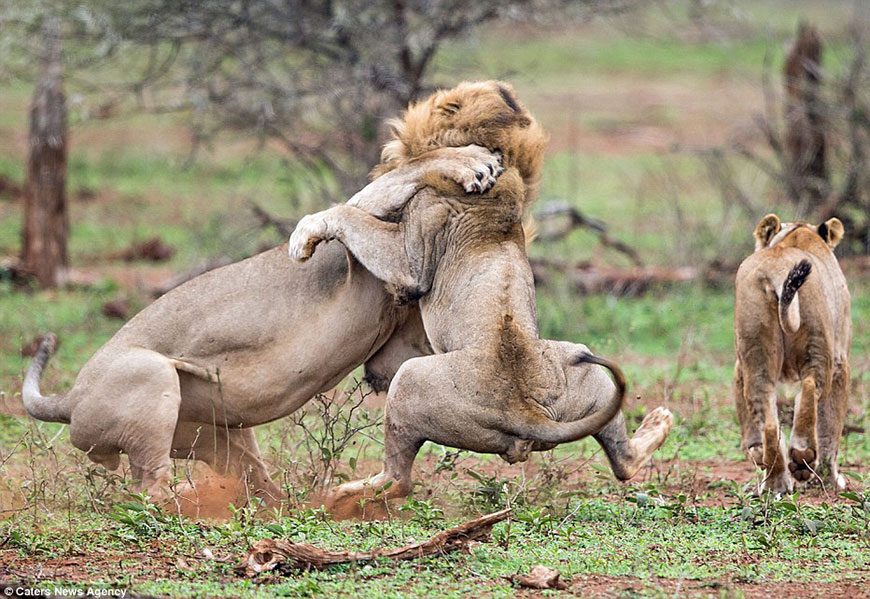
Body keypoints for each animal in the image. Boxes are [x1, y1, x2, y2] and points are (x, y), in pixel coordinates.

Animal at [290, 82, 676, 516]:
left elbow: (351, 214)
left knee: (398, 479)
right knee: (624, 461)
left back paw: (339, 495)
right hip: (587, 374)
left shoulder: (410, 259)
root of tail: (528, 413)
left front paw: (305, 236)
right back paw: (659, 422)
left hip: (410, 380)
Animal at [736, 213, 852, 494]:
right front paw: (831, 479)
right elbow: (831, 426)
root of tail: (777, 266)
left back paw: (775, 483)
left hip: (754, 347)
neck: (798, 235)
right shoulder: (841, 361)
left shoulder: (738, 363)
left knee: (765, 414)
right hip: (819, 342)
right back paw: (802, 457)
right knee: (811, 387)